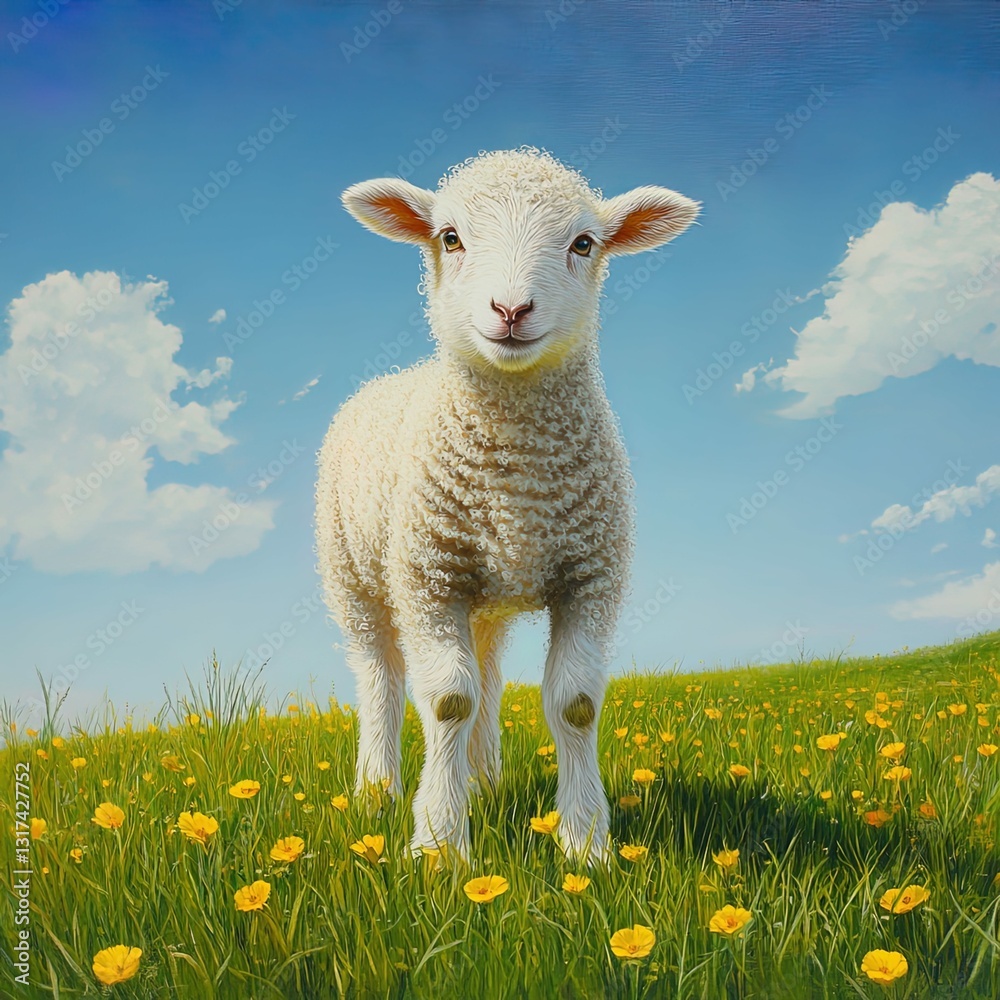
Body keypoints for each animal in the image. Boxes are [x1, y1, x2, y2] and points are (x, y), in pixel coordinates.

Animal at [316, 147, 698, 864]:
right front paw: (439, 845)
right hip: (355, 575)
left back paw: (485, 779)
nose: (512, 309)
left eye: (584, 243)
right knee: (381, 677)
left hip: (484, 597)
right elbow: (445, 701)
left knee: (488, 676)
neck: (516, 480)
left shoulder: (591, 574)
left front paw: (585, 845)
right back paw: (377, 791)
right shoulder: (429, 575)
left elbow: (575, 703)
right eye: (450, 238)